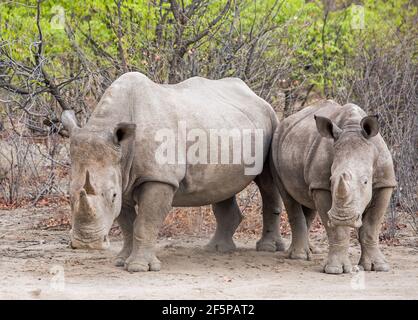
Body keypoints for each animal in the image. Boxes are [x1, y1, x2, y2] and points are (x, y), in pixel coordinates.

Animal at [62, 72, 284, 272]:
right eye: (69, 196)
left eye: (113, 195)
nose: (86, 243)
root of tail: (254, 94)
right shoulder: (122, 174)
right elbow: (127, 224)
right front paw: (121, 261)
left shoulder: (159, 178)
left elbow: (145, 223)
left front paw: (138, 267)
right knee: (222, 187)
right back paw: (217, 249)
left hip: (271, 121)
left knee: (267, 181)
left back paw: (267, 248)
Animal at [272, 100, 396, 276]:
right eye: (331, 181)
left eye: (366, 182)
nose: (343, 218)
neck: (352, 127)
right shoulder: (321, 185)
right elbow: (337, 231)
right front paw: (335, 270)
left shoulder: (385, 182)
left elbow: (372, 226)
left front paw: (377, 267)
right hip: (275, 143)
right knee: (288, 197)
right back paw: (299, 256)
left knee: (307, 201)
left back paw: (311, 251)